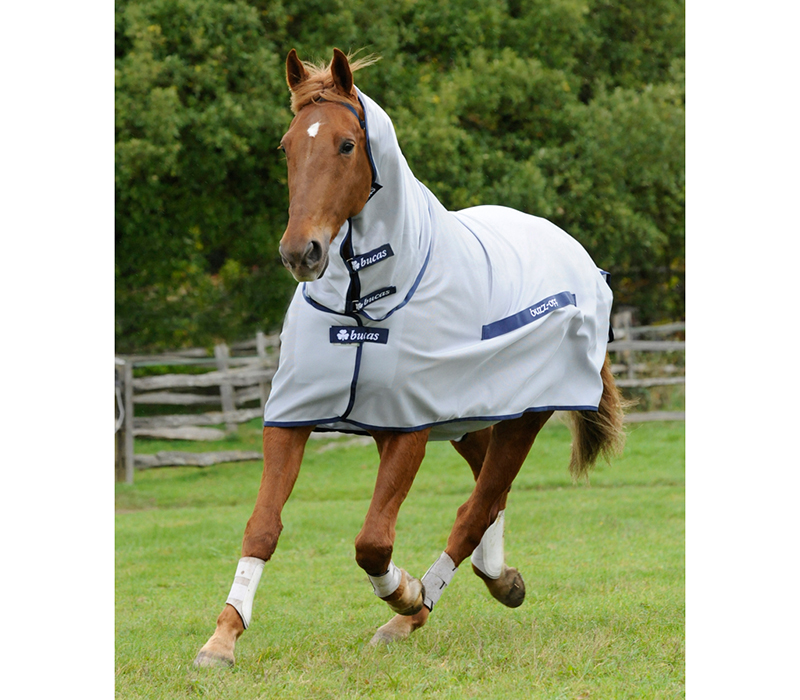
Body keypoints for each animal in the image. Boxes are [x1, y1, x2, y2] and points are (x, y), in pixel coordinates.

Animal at [194, 48, 626, 668]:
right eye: (287, 146)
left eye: (347, 144)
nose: (301, 253)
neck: (363, 304)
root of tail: (580, 258)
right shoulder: (296, 417)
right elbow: (262, 527)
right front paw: (222, 637)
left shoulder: (409, 428)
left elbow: (372, 543)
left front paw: (406, 593)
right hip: (467, 415)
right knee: (488, 495)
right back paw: (499, 578)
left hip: (523, 415)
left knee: (477, 506)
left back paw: (415, 612)